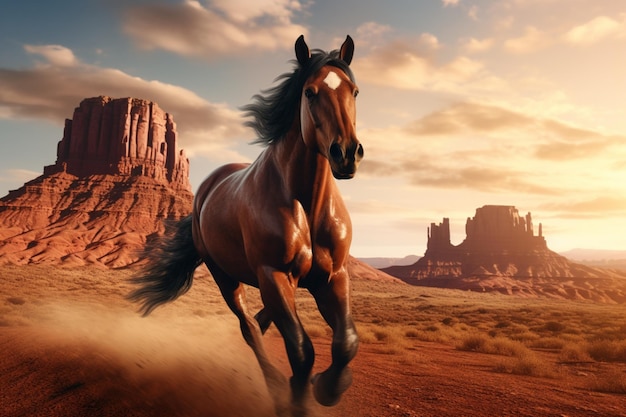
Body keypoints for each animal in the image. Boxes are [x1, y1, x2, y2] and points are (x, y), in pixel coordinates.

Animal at [127, 35, 360, 416]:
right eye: (310, 93)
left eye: (354, 91)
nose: (347, 154)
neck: (306, 205)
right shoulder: (273, 275)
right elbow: (301, 350)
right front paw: (298, 397)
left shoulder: (333, 276)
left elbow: (346, 342)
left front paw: (328, 387)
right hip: (225, 276)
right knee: (249, 328)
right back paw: (276, 385)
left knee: (261, 323)